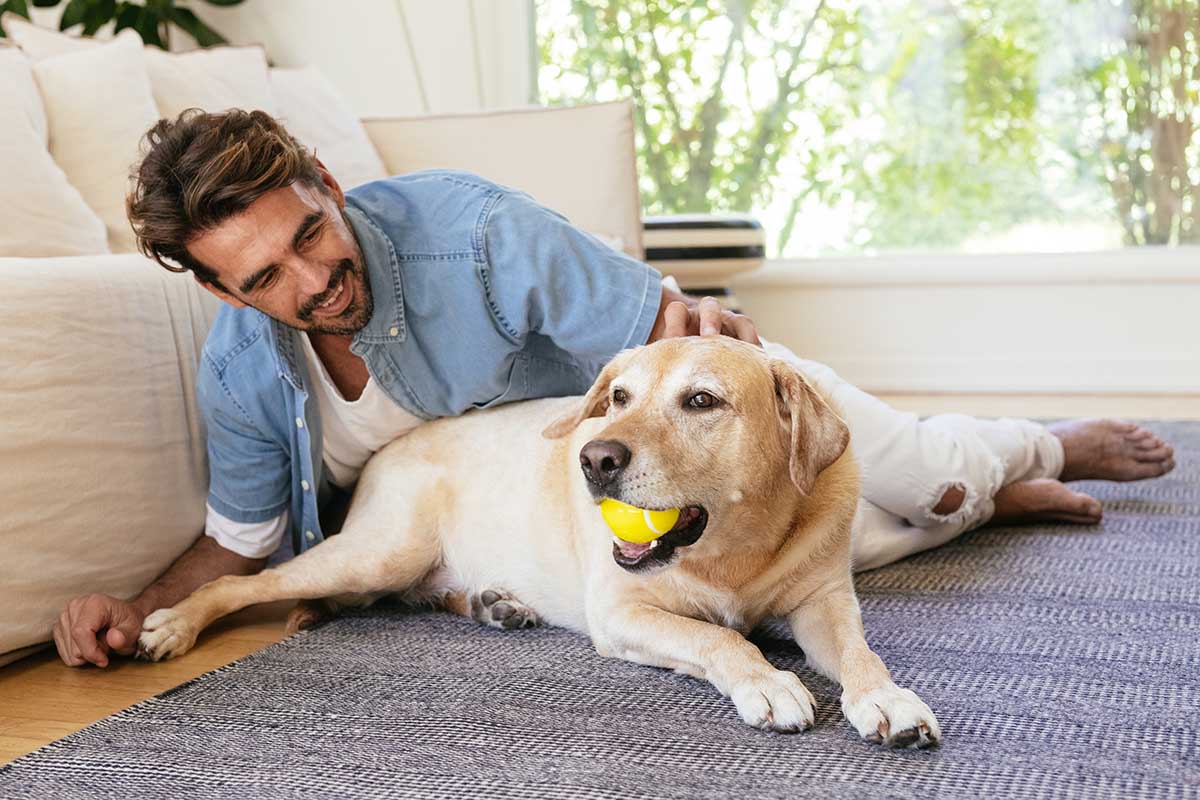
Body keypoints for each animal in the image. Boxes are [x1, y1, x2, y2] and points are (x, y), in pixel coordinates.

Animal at [140, 335, 940, 748]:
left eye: (701, 400)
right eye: (618, 397)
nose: (595, 459)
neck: (735, 551)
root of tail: (386, 450)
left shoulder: (824, 603)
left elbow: (861, 655)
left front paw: (887, 699)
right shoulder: (622, 614)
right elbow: (721, 639)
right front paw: (768, 682)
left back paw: (495, 604)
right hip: (378, 550)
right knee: (242, 582)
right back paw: (172, 622)